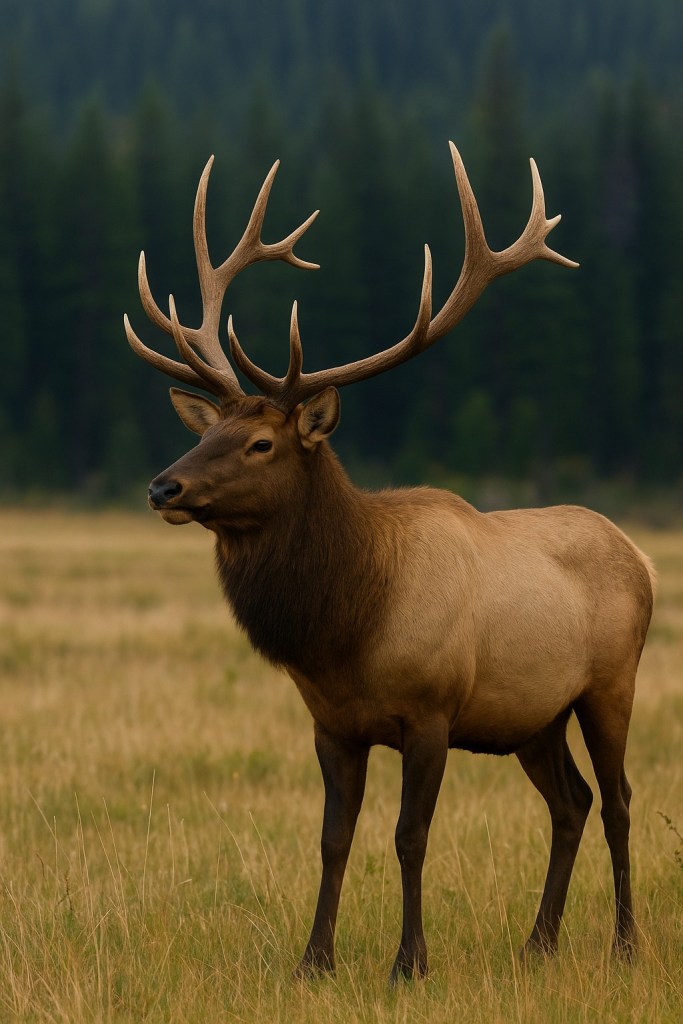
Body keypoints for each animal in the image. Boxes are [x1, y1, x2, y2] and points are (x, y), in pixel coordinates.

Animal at [123, 142, 655, 984]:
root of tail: (640, 556)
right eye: (207, 432)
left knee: (618, 800)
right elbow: (332, 839)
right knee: (568, 802)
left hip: (609, 684)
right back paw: (536, 943)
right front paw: (315, 960)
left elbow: (409, 837)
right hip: (530, 714)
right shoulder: (331, 725)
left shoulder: (430, 713)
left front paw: (409, 962)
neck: (346, 627)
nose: (162, 486)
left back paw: (624, 946)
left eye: (261, 443)